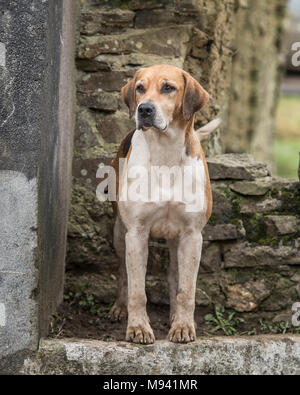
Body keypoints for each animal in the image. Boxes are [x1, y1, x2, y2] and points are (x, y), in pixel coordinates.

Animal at [106, 64, 219, 344]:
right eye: (140, 88)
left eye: (168, 87)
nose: (144, 109)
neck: (165, 153)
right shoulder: (136, 233)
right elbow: (137, 290)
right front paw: (138, 328)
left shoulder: (192, 234)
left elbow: (186, 290)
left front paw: (183, 326)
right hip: (119, 233)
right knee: (123, 274)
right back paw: (119, 308)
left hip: (178, 241)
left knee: (174, 276)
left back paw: (174, 316)